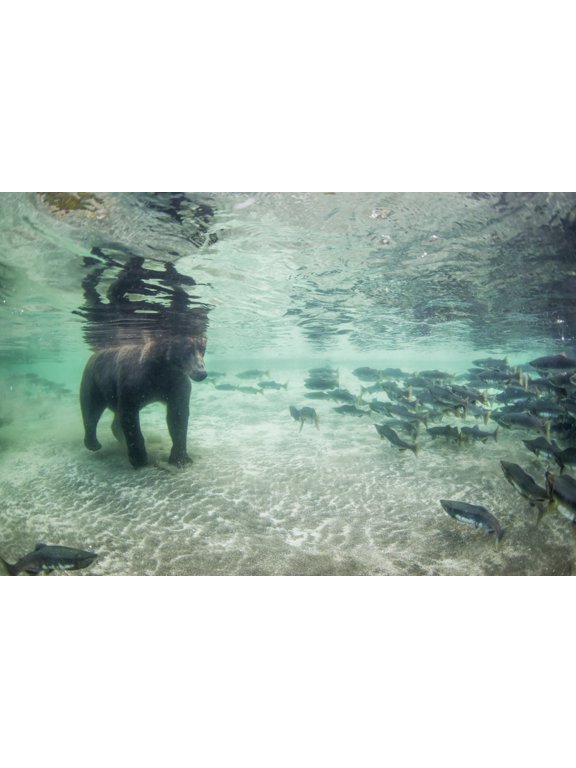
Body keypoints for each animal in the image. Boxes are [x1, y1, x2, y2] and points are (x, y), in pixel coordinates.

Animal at [80, 335, 207, 468]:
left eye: (202, 349)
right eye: (188, 349)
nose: (202, 373)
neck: (160, 368)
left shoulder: (175, 383)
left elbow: (178, 415)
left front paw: (181, 459)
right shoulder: (134, 382)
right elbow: (129, 415)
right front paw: (140, 458)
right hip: (93, 380)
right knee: (91, 408)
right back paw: (93, 443)